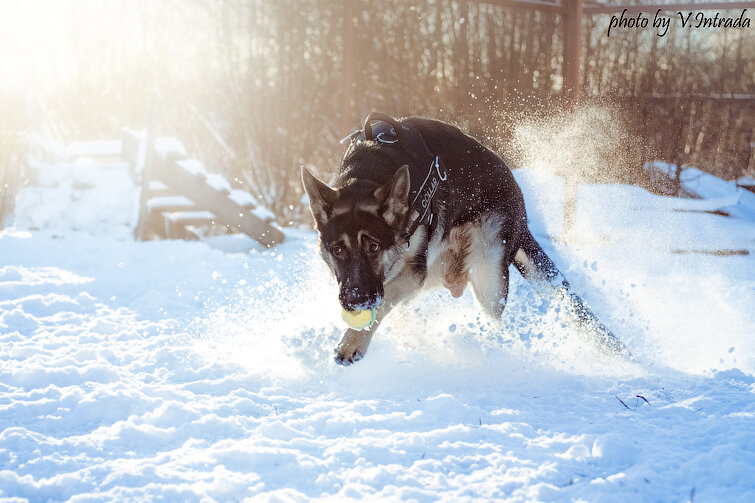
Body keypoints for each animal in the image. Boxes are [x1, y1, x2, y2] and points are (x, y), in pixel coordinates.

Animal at [302, 113, 628, 366]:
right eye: (337, 250)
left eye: (373, 247)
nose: (355, 301)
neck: (365, 178)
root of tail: (521, 210)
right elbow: (387, 302)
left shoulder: (412, 272)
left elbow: (382, 304)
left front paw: (351, 342)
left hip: (488, 274)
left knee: (494, 321)